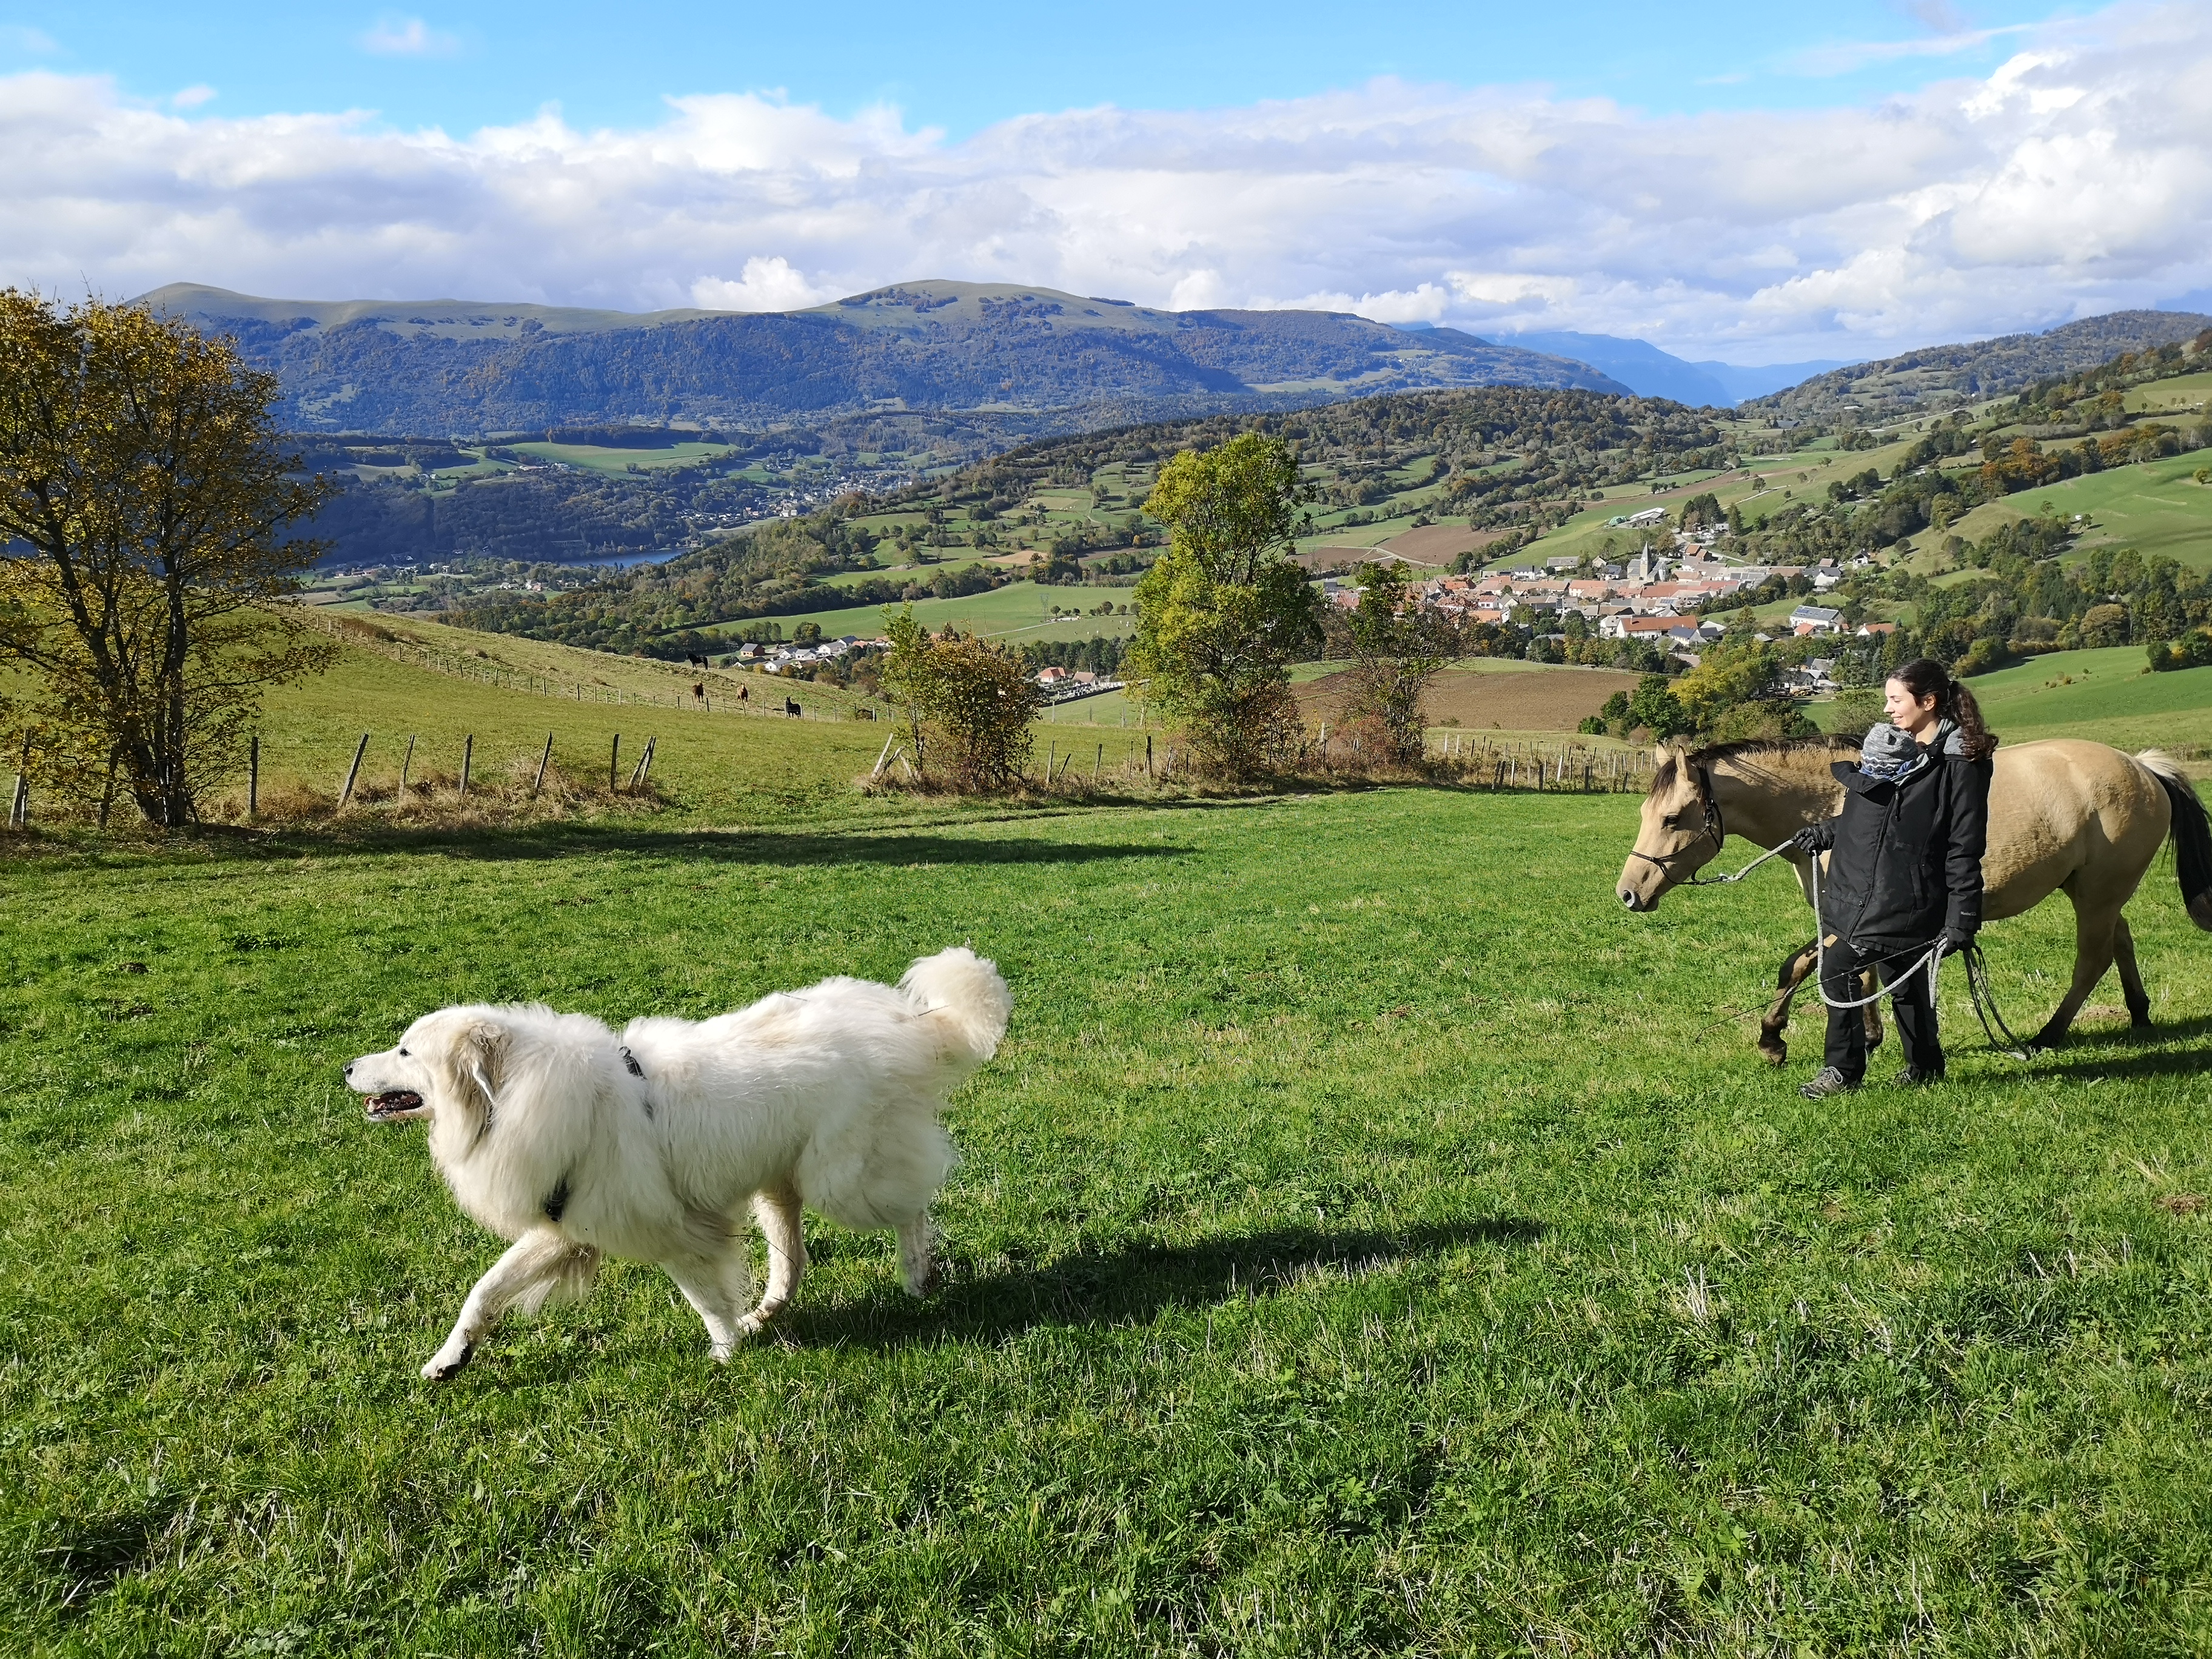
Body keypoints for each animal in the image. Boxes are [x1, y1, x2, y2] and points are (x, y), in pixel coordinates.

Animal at [1616, 736, 2212, 1060]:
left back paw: (2050, 1033)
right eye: (1644, 813)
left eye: (1673, 818)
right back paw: (2139, 1014)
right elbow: (1855, 973)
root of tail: (2143, 767)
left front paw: (1772, 1037)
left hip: (2096, 896)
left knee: (2092, 960)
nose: (1628, 893)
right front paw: (1870, 1034)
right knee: (2122, 941)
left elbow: (1805, 966)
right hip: (2094, 891)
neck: (1837, 804)